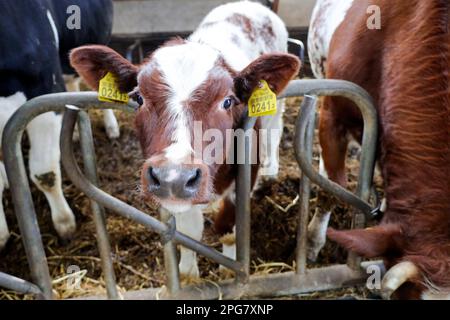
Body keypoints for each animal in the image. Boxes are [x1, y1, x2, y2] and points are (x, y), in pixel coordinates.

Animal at [70, 1, 300, 278]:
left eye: (228, 101)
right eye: (139, 97)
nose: (173, 177)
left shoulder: (246, 173)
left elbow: (229, 226)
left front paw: (229, 268)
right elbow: (190, 230)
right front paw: (188, 273)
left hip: (276, 107)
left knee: (275, 130)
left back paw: (272, 170)